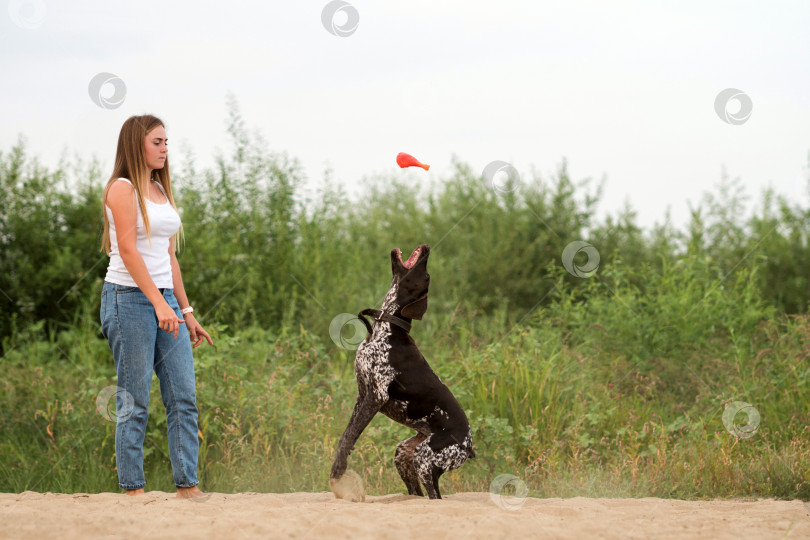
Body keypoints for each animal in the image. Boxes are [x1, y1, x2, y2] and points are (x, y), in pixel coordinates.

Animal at [328, 243, 474, 500]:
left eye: (426, 276)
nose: (427, 247)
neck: (387, 328)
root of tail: (468, 446)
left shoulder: (376, 397)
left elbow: (351, 435)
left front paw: (339, 471)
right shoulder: (362, 394)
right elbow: (346, 435)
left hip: (425, 460)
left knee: (435, 497)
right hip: (404, 454)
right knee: (417, 493)